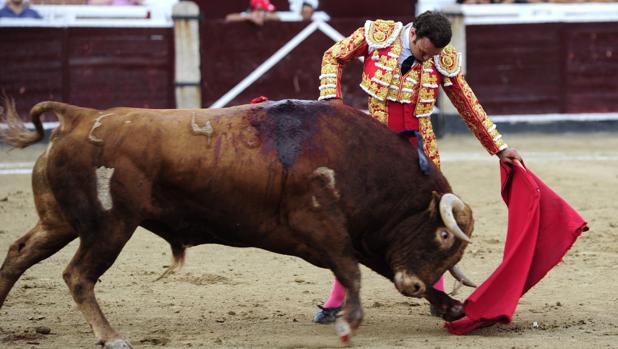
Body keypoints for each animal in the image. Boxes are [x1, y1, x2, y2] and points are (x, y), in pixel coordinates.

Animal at [0, 99, 474, 346]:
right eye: (442, 233)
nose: (413, 285)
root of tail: (79, 115)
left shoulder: (364, 239)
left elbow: (366, 268)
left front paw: (449, 305)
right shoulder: (322, 226)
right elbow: (352, 272)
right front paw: (348, 322)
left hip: (61, 222)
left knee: (20, 252)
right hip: (110, 226)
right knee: (78, 275)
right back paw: (111, 335)